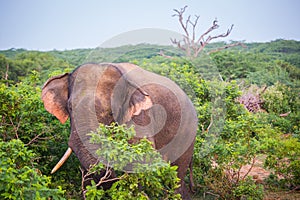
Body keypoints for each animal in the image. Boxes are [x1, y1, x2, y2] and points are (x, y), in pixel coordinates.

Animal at [41, 62, 197, 198]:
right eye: (70, 107)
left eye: (111, 112)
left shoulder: (141, 118)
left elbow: (141, 161)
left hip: (186, 134)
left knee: (177, 175)